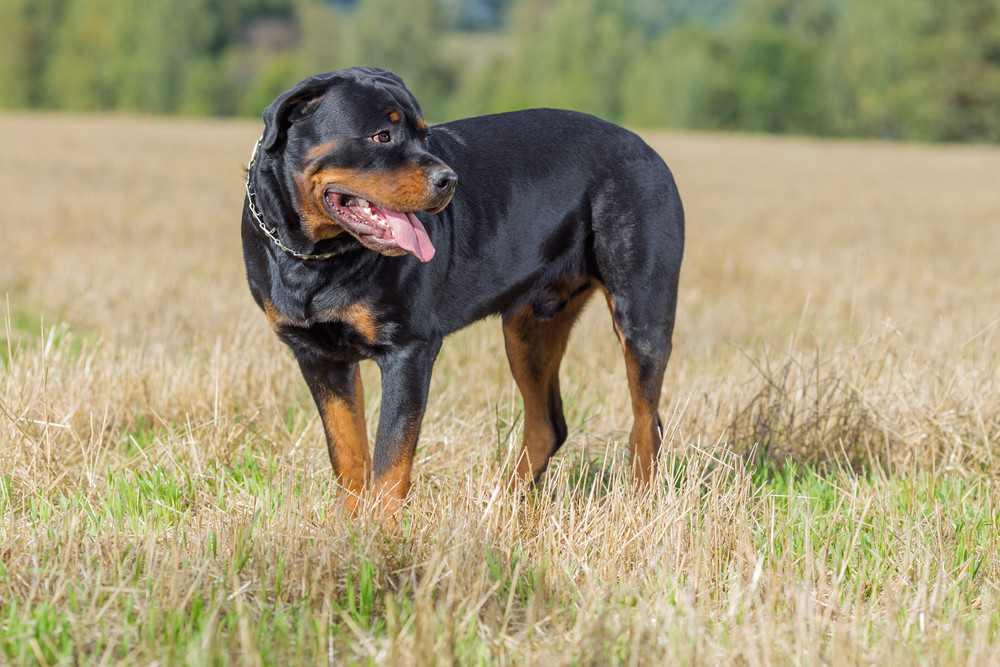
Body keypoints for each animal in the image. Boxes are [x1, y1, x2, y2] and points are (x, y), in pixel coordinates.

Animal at [240, 66, 688, 516]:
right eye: (381, 135)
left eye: (423, 136)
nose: (448, 179)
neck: (315, 257)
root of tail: (647, 148)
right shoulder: (318, 356)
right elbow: (348, 454)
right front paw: (348, 525)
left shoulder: (409, 349)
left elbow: (390, 462)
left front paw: (380, 530)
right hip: (528, 326)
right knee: (547, 424)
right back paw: (503, 505)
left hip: (642, 318)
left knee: (646, 423)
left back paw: (641, 508)